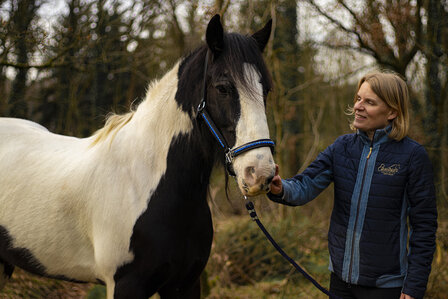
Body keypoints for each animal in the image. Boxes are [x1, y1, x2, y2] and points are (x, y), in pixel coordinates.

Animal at [0, 14, 274, 299]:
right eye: (222, 88)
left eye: (266, 90)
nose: (260, 172)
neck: (146, 183)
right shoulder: (126, 285)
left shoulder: (185, 284)